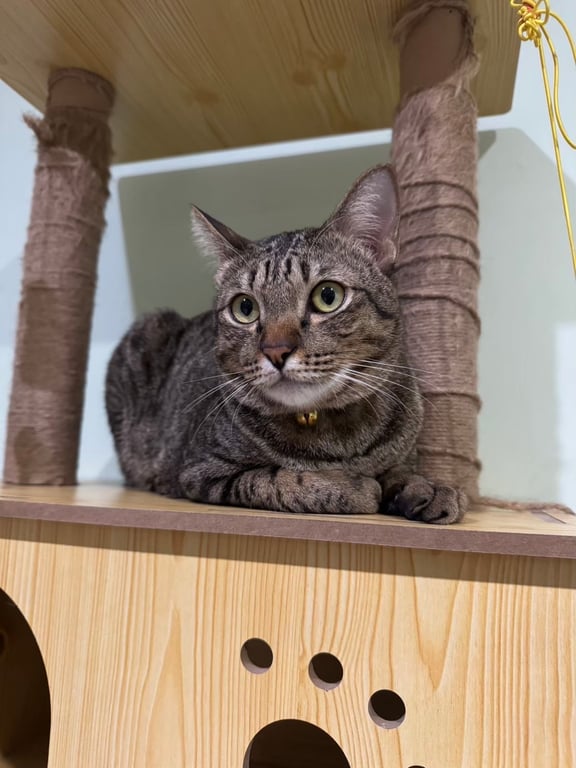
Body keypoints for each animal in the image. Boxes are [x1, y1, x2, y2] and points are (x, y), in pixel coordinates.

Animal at [105, 165, 466, 523]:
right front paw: (351, 486)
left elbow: (401, 470)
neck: (339, 442)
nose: (276, 351)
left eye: (328, 296)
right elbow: (279, 479)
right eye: (245, 308)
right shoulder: (202, 471)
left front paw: (429, 486)